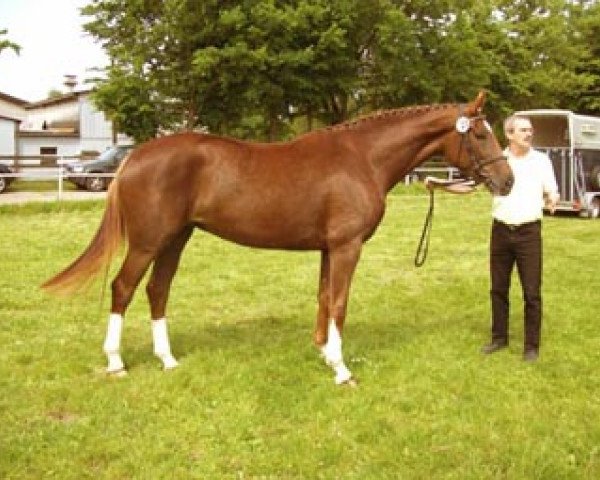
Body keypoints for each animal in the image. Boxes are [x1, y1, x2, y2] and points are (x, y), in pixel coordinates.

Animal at [43, 90, 510, 384]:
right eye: (481, 134)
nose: (507, 181)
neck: (363, 158)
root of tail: (134, 157)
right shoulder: (347, 247)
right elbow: (339, 302)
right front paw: (342, 370)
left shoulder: (329, 248)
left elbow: (325, 298)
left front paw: (324, 353)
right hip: (147, 242)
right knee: (123, 288)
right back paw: (116, 363)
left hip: (175, 239)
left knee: (158, 290)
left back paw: (168, 360)